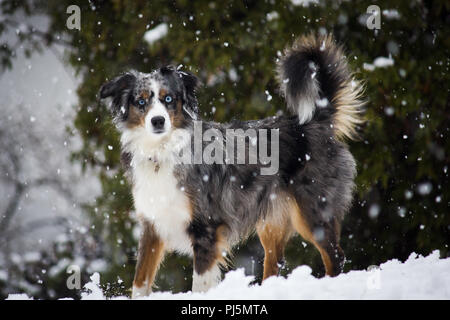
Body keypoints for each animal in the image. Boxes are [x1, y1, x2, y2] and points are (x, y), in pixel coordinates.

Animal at [99, 34, 366, 298]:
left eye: (168, 99)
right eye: (140, 102)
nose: (157, 121)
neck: (162, 152)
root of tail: (317, 120)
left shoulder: (206, 228)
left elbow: (199, 285)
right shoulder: (152, 226)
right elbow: (140, 281)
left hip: (314, 211)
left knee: (335, 256)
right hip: (271, 219)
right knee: (275, 261)